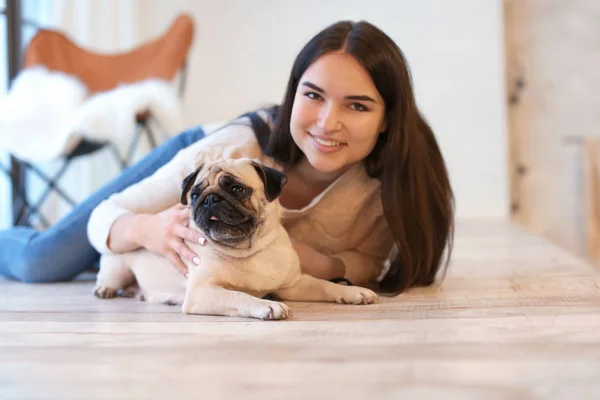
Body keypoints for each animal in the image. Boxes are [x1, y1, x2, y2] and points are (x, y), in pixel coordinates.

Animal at [94, 158, 378, 320]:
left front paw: (352, 292)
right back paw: (104, 289)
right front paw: (267, 306)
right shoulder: (202, 292)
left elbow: (325, 285)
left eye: (237, 189)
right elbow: (238, 296)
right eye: (194, 195)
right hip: (117, 268)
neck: (249, 249)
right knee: (109, 277)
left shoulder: (293, 285)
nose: (209, 199)